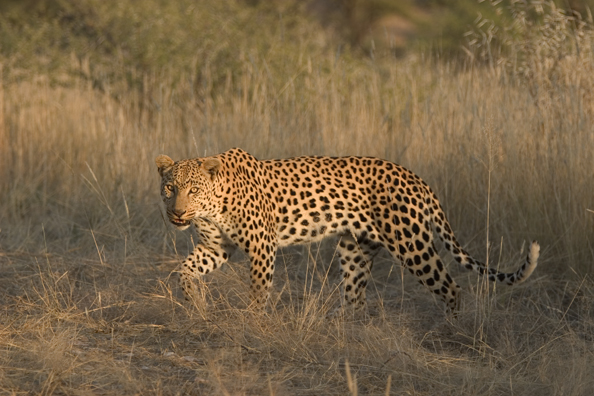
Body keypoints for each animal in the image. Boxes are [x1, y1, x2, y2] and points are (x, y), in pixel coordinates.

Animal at [155, 147, 540, 314]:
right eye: (170, 188)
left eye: (193, 189)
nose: (176, 213)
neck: (211, 208)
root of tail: (416, 177)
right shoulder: (216, 247)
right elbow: (184, 271)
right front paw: (194, 300)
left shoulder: (262, 246)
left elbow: (259, 290)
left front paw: (253, 321)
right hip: (355, 249)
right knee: (355, 298)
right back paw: (340, 329)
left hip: (412, 244)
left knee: (451, 287)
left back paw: (455, 330)